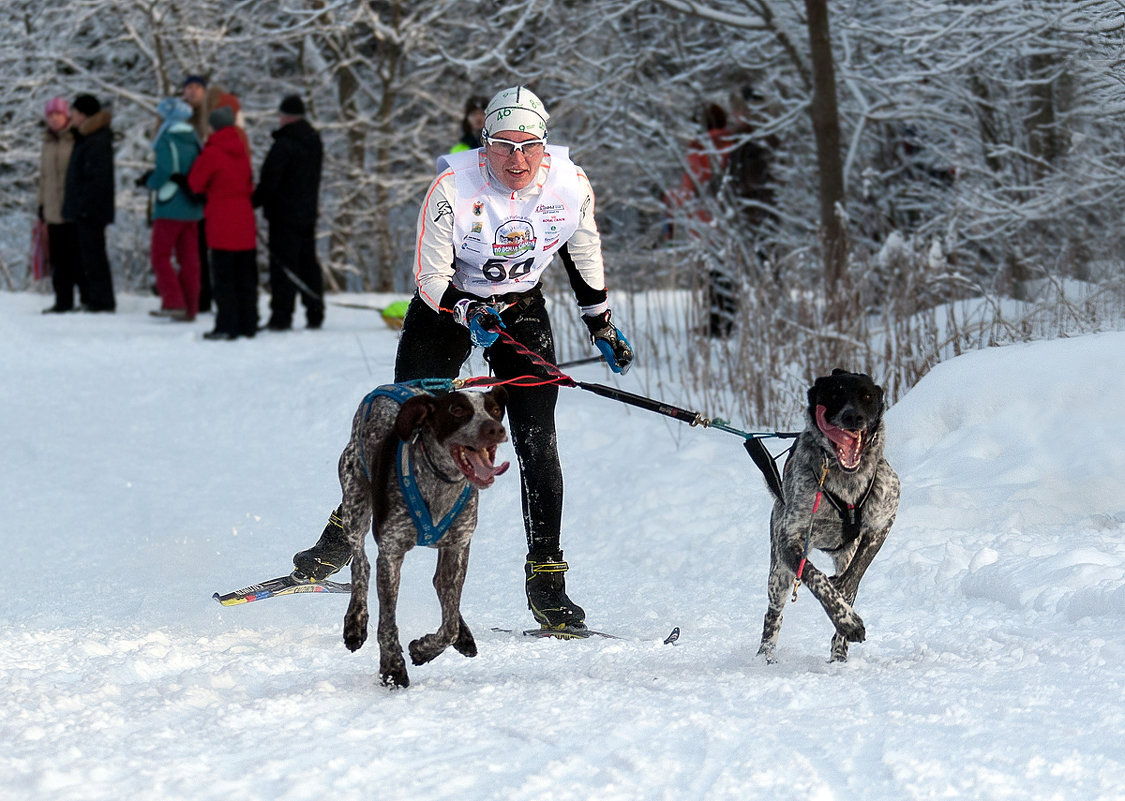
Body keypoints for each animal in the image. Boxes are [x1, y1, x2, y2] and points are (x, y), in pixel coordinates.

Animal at [335, 384, 508, 684]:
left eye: (495, 409)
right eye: (457, 410)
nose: (494, 428)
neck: (440, 481)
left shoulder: (458, 547)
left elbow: (449, 624)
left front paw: (425, 649)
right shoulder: (390, 554)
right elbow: (387, 623)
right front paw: (392, 668)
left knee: (442, 589)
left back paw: (463, 633)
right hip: (354, 507)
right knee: (361, 564)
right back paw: (355, 622)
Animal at [760, 369, 900, 661]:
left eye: (867, 396)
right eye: (835, 394)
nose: (853, 417)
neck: (846, 480)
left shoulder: (882, 523)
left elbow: (853, 577)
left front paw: (844, 607)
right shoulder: (790, 540)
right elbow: (816, 578)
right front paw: (846, 619)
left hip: (845, 552)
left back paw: (839, 655)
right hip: (778, 574)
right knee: (773, 614)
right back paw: (765, 656)